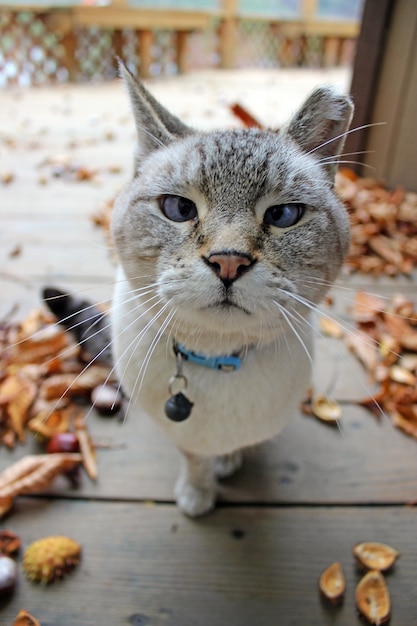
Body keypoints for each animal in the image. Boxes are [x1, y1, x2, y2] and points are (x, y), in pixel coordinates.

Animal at [109, 61, 352, 516]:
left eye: (283, 214)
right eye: (179, 208)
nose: (228, 261)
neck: (216, 360)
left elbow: (235, 447)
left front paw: (226, 462)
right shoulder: (183, 436)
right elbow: (193, 457)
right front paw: (198, 492)